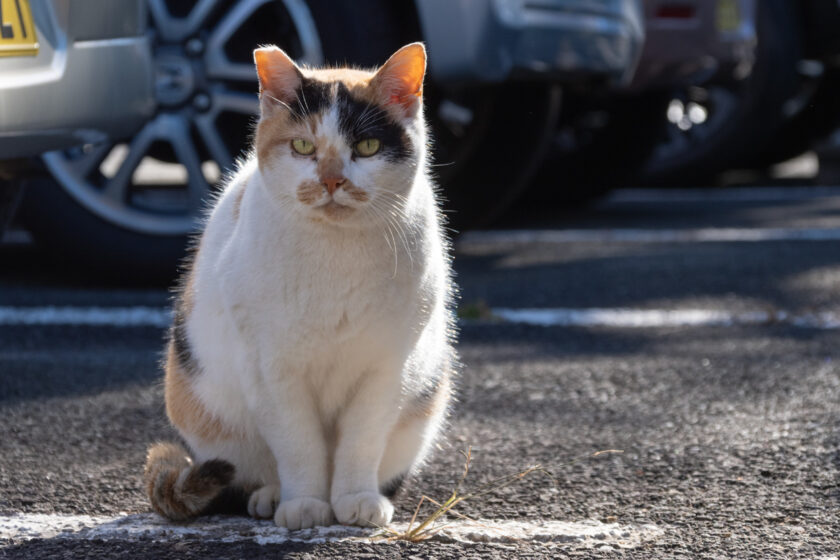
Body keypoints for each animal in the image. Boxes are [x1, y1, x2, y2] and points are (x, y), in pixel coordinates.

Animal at [145, 42, 460, 528]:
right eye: (302, 146)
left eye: (367, 147)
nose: (331, 180)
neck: (337, 253)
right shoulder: (272, 369)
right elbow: (298, 445)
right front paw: (304, 504)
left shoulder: (387, 367)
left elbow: (362, 440)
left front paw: (356, 499)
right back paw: (272, 496)